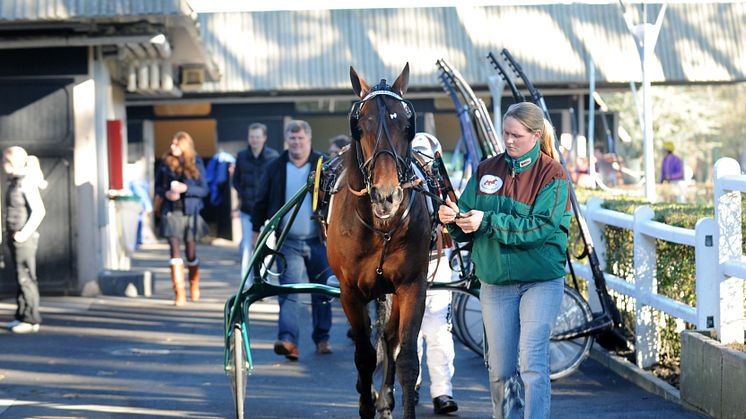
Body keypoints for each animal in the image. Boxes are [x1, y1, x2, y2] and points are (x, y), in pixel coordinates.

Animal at [326, 63, 430, 419]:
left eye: (407, 125)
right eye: (361, 125)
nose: (387, 196)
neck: (380, 227)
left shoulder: (412, 284)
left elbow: (406, 357)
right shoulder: (350, 292)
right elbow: (364, 356)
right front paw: (366, 403)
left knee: (388, 338)